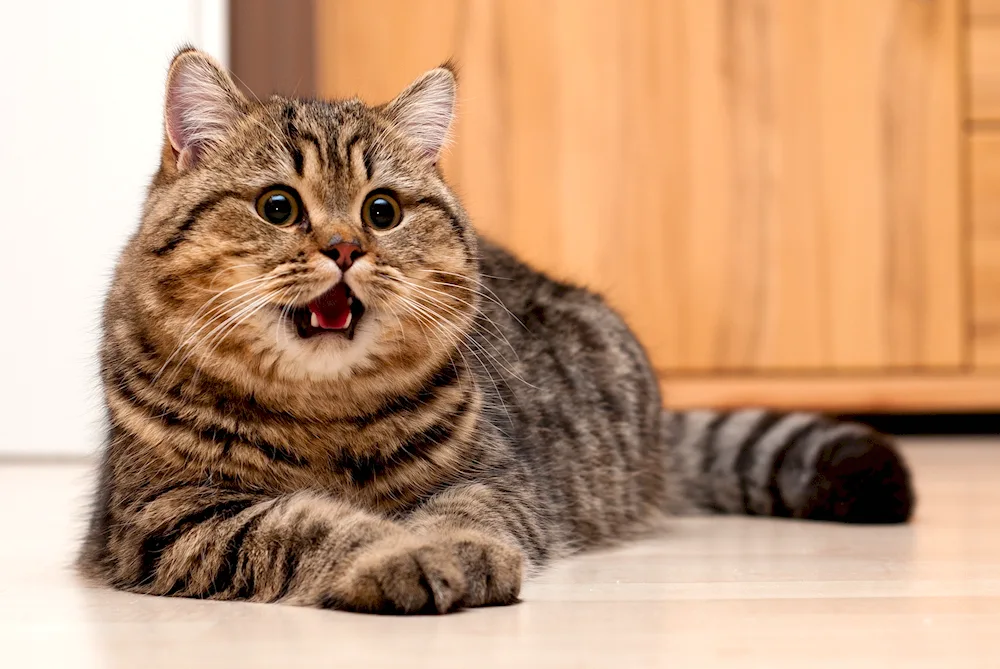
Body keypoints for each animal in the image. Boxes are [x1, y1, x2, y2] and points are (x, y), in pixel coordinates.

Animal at [80, 45, 916, 612]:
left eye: (382, 209)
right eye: (278, 206)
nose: (346, 248)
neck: (322, 415)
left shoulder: (499, 477)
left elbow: (466, 513)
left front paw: (462, 552)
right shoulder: (172, 517)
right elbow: (308, 525)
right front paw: (396, 556)